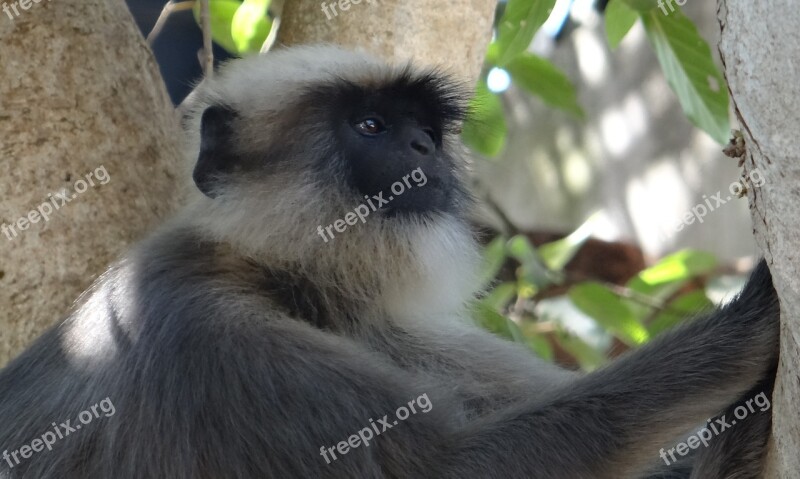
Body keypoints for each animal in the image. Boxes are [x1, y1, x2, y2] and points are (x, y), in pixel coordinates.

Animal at [0, 46, 780, 479]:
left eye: (425, 130)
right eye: (372, 126)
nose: (424, 151)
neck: (286, 281)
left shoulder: (386, 328)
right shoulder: (196, 326)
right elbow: (452, 468)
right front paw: (754, 315)